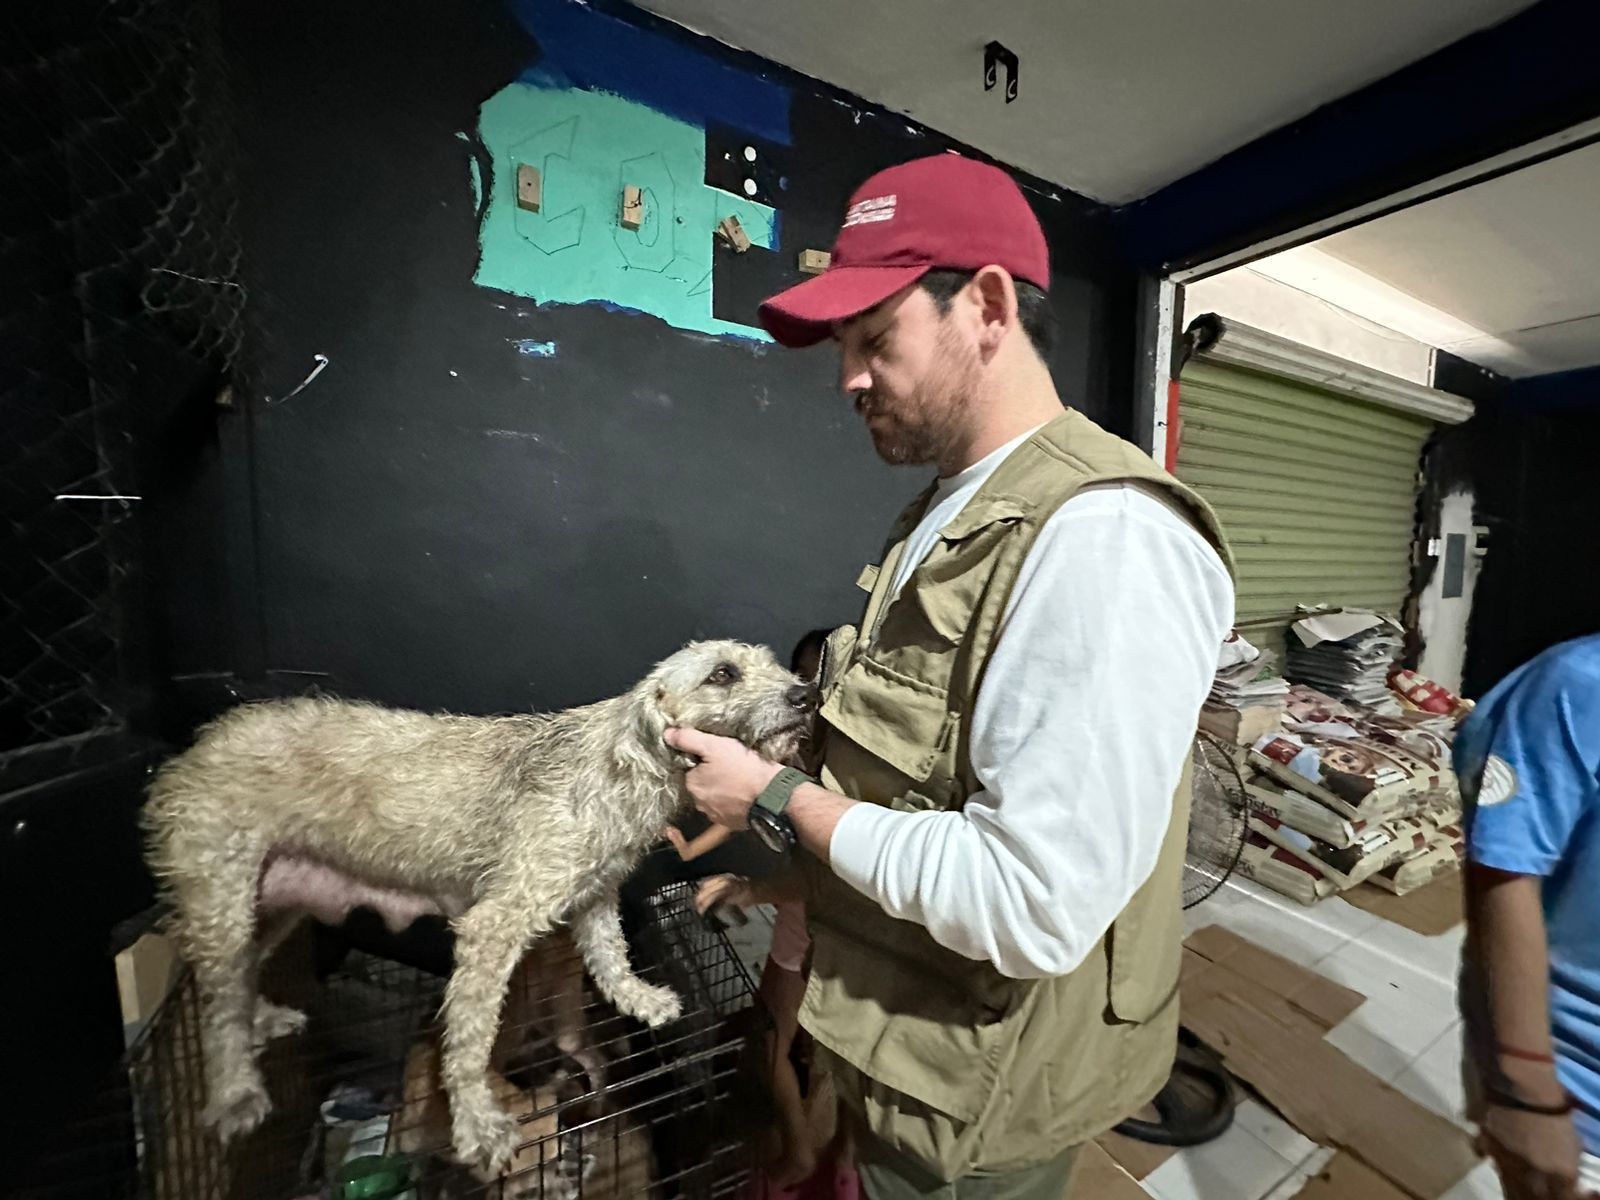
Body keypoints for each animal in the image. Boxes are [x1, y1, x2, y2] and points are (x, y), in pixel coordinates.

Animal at [144, 643, 812, 1177]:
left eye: (771, 662)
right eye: (723, 673)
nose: (805, 694)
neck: (625, 763)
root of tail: (200, 743)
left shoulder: (595, 896)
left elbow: (610, 958)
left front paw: (639, 999)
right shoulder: (495, 926)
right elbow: (466, 1043)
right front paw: (477, 1125)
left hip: (271, 906)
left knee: (232, 982)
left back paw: (260, 1020)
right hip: (224, 900)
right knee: (218, 1003)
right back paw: (234, 1091)